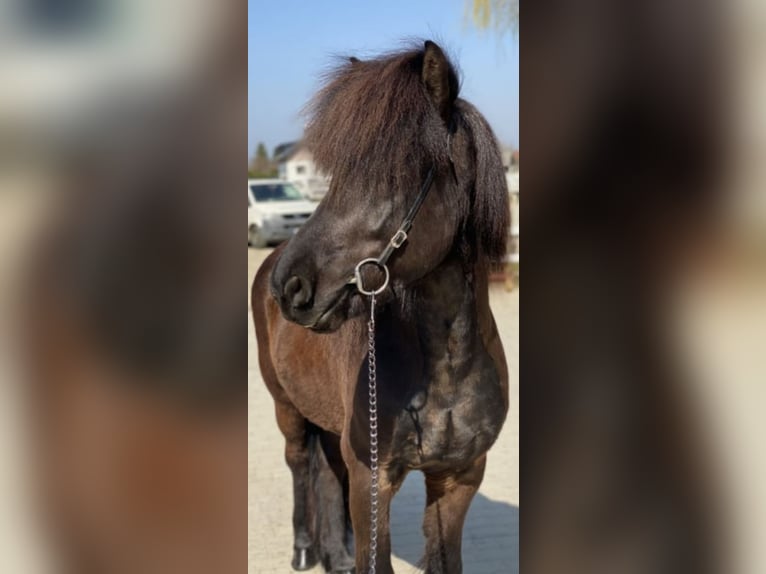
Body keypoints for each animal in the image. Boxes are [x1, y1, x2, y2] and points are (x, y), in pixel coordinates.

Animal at [251, 40, 510, 574]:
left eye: (396, 173)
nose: (291, 287)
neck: (448, 367)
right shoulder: (374, 482)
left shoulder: (458, 479)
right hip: (286, 408)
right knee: (299, 467)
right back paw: (305, 548)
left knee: (328, 472)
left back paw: (336, 551)